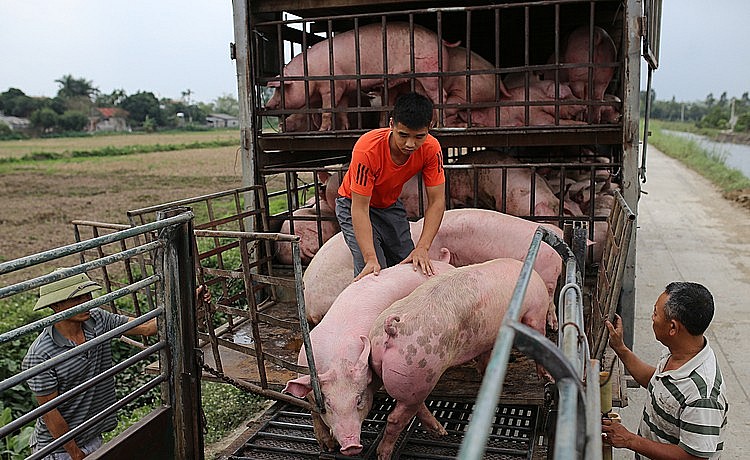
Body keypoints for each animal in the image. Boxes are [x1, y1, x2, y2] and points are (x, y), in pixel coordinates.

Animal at [268, 22, 450, 131]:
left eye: (280, 89)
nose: (267, 106)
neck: (309, 74)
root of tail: (440, 40)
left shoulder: (331, 86)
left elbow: (327, 108)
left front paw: (322, 130)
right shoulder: (343, 87)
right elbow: (342, 109)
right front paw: (345, 129)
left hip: (430, 72)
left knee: (441, 95)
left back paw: (439, 125)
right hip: (419, 80)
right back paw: (432, 124)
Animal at [284, 258, 456, 456]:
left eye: (358, 400)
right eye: (328, 405)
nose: (351, 446)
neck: (338, 361)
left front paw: (441, 433)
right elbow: (313, 412)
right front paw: (328, 447)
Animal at [370, 256, 552, 458]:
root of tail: (392, 328)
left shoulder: (488, 338)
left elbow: (485, 358)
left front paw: (485, 372)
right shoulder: (536, 310)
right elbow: (538, 334)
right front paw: (547, 378)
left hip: (409, 379)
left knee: (414, 406)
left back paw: (440, 431)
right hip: (418, 370)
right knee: (396, 418)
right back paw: (385, 454)